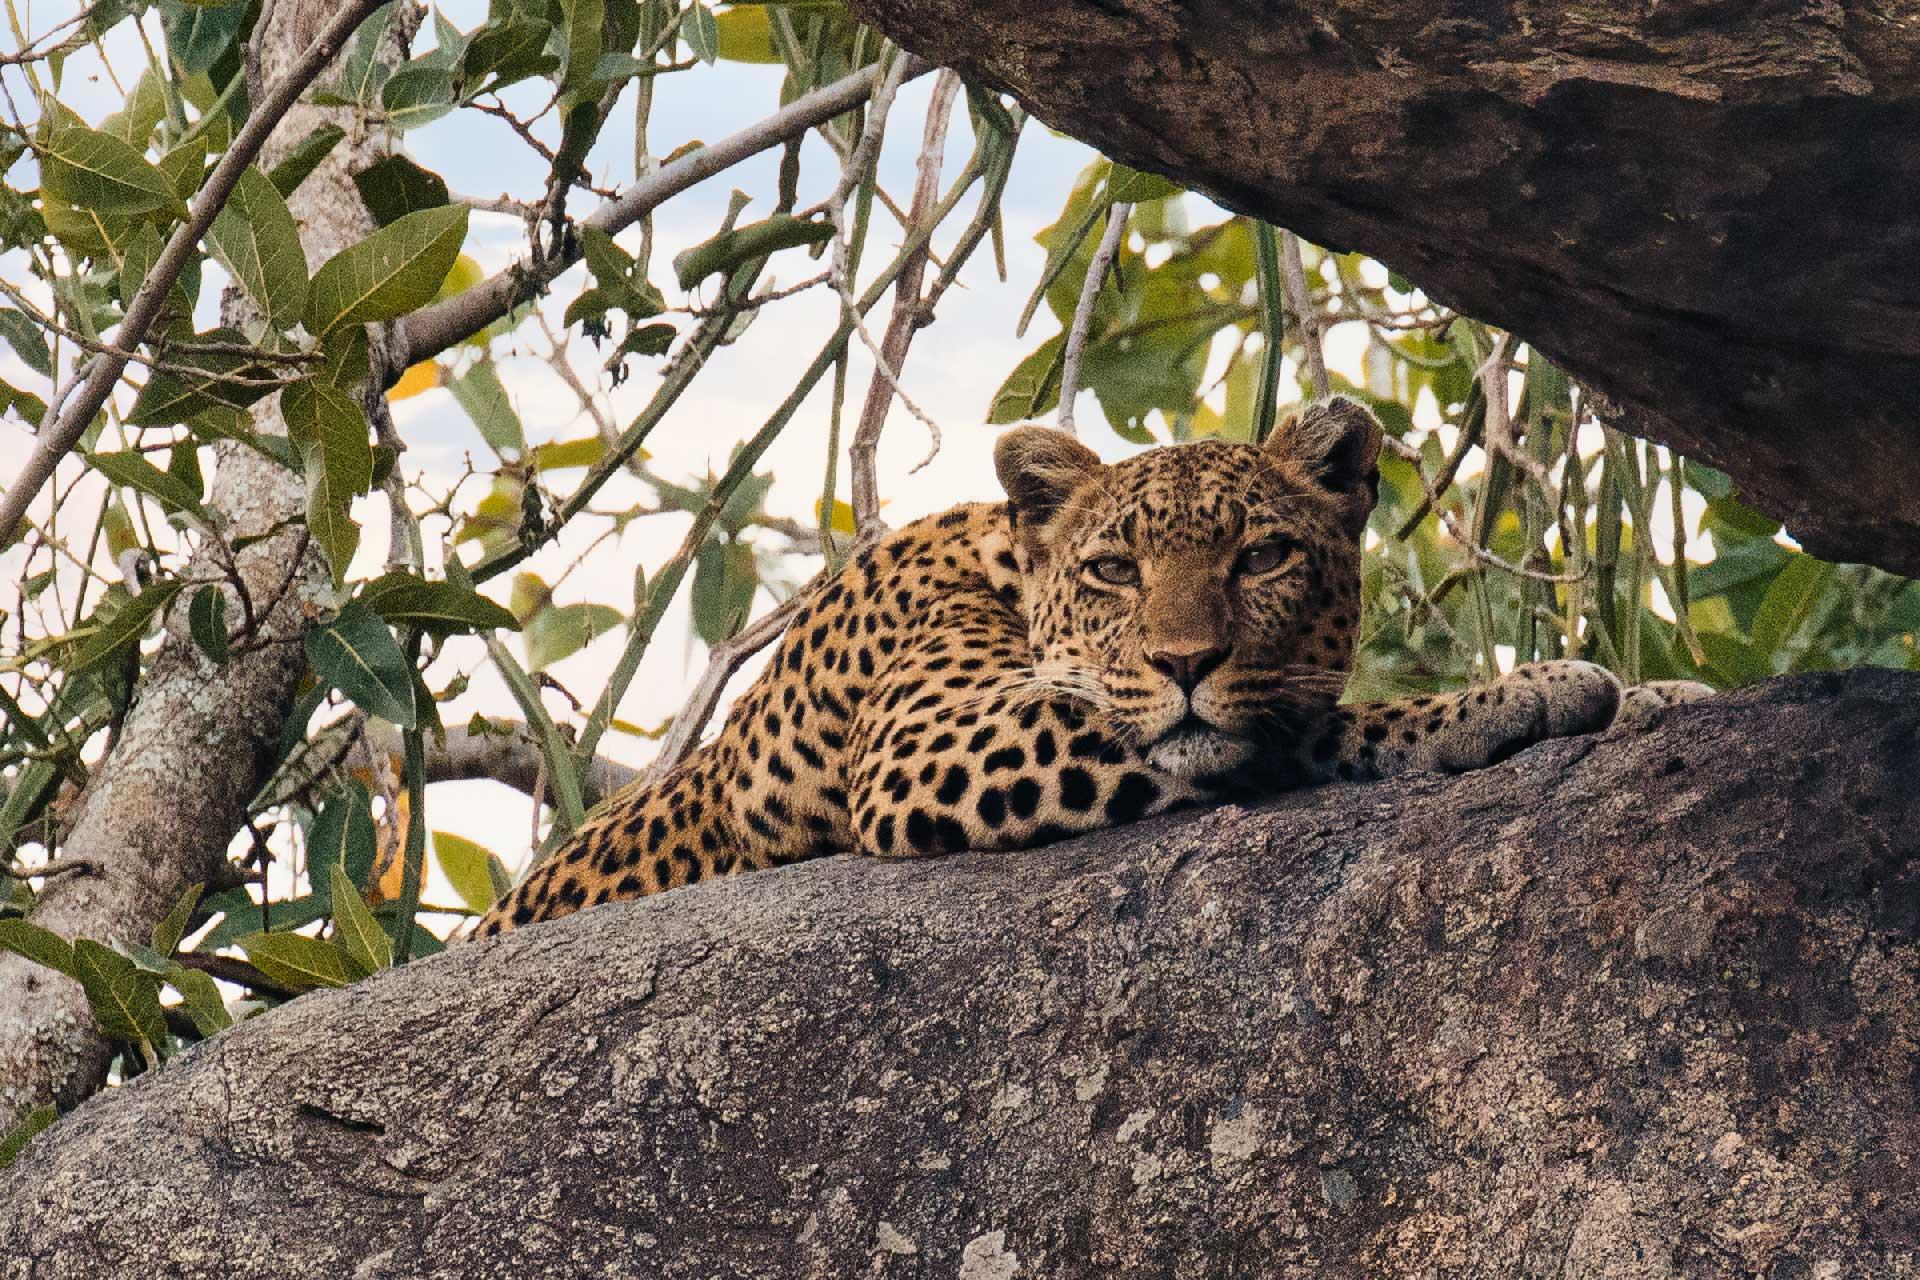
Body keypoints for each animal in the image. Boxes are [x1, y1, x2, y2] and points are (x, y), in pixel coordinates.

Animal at [472, 401, 1704, 940]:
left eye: (1261, 557)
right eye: (1116, 567)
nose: (1186, 658)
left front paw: (1655, 697)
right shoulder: (939, 743)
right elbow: (1301, 721)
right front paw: (1513, 696)